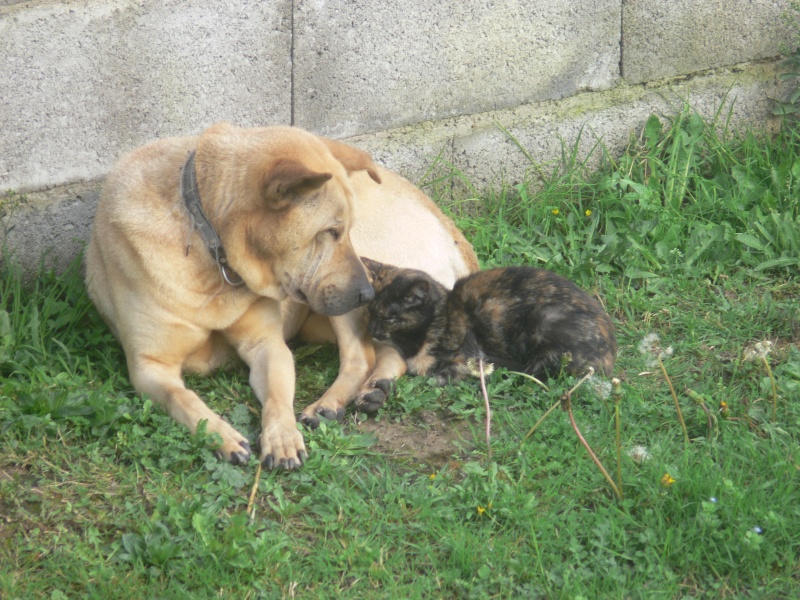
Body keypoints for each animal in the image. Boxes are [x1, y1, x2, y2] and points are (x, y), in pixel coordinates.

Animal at [84, 122, 478, 468]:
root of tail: (451, 230)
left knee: (360, 356)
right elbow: (183, 398)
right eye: (331, 231)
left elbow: (276, 398)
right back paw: (375, 388)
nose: (368, 293)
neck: (209, 246)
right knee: (386, 350)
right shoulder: (149, 368)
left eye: (346, 231)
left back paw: (329, 404)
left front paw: (283, 437)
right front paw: (220, 435)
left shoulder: (267, 345)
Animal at [362, 255, 620, 382]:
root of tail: (611, 353)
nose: (372, 329)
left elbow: (438, 375)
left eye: (389, 318)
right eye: (370, 312)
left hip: (545, 319)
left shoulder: (463, 360)